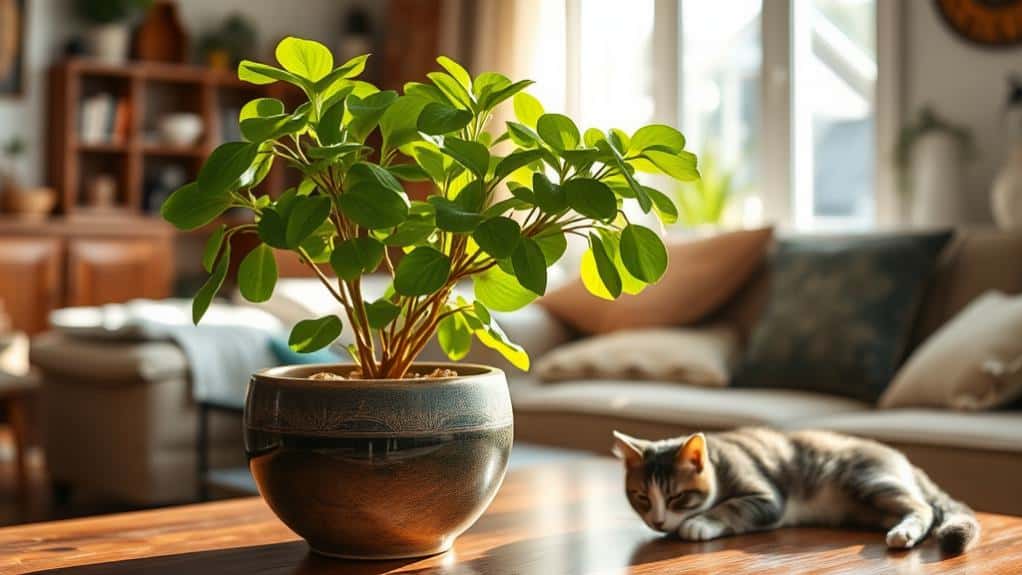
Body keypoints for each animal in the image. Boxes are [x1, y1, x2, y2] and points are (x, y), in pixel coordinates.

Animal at [609, 428, 977, 555]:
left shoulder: (767, 496)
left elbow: (731, 507)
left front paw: (698, 523)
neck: (718, 459)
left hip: (868, 478)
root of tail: (905, 460)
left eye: (676, 497)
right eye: (642, 498)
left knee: (924, 508)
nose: (658, 521)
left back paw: (904, 532)